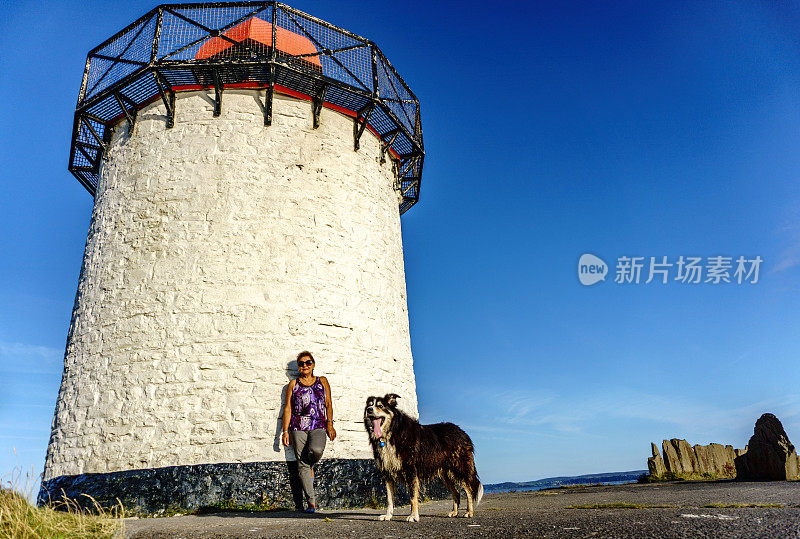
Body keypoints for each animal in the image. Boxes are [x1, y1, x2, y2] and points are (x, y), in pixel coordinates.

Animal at [362, 392, 482, 524]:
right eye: (369, 405)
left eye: (380, 406)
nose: (369, 410)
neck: (392, 432)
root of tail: (463, 432)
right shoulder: (387, 472)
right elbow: (389, 499)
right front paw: (388, 516)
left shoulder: (411, 471)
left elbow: (412, 497)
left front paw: (413, 516)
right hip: (444, 474)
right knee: (456, 492)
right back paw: (454, 512)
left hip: (460, 468)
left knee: (469, 490)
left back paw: (469, 512)